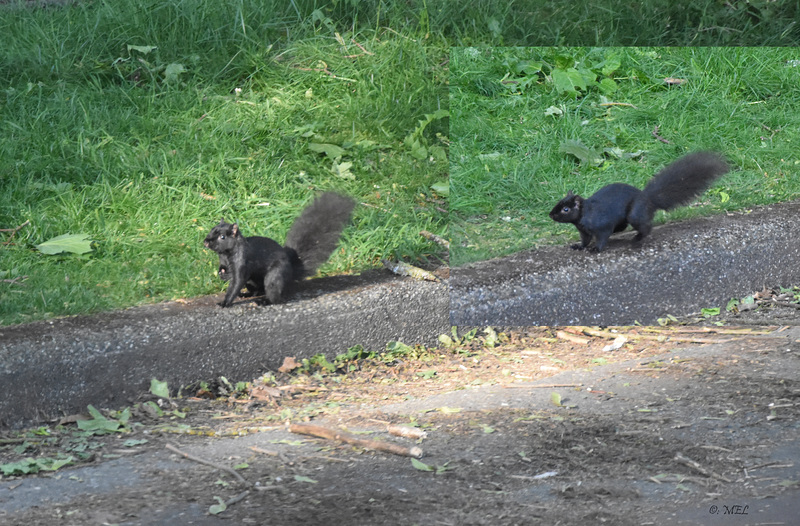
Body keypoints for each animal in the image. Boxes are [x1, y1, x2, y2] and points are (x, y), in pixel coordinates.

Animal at [205, 193, 354, 310]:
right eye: (212, 229)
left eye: (222, 237)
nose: (206, 241)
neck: (226, 253)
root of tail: (291, 273)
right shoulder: (223, 261)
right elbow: (225, 270)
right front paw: (222, 274)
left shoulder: (242, 261)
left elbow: (236, 283)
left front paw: (225, 302)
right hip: (252, 282)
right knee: (258, 290)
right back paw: (247, 294)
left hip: (274, 276)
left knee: (273, 296)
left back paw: (264, 301)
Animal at [552, 152, 732, 253]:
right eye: (559, 203)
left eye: (566, 209)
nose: (551, 214)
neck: (585, 214)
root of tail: (647, 198)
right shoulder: (583, 230)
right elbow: (585, 240)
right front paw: (579, 247)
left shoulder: (601, 225)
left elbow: (602, 237)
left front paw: (596, 249)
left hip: (635, 214)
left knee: (646, 227)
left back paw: (637, 238)